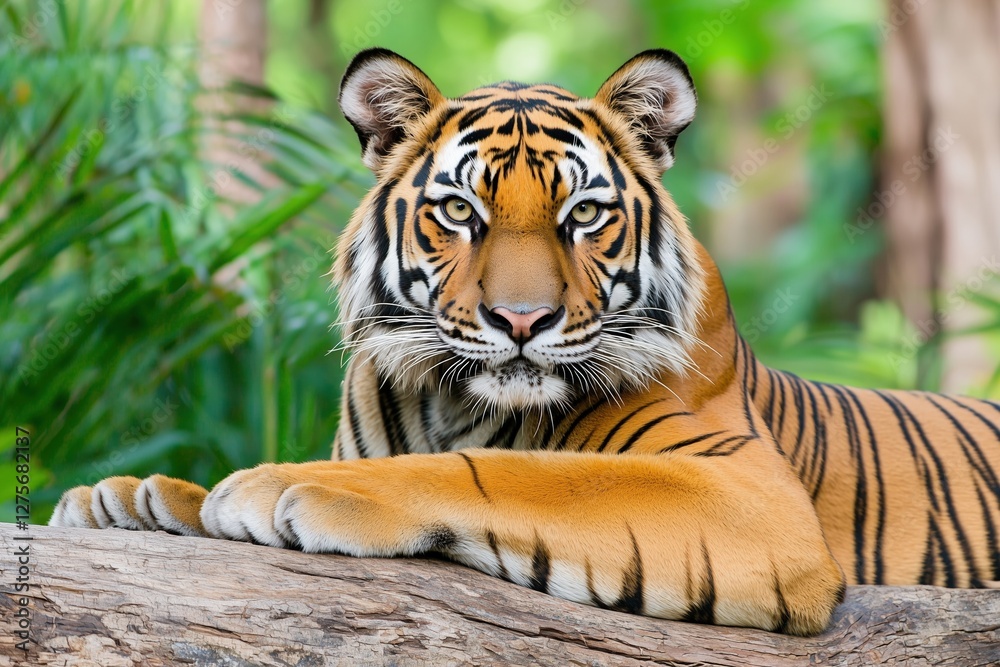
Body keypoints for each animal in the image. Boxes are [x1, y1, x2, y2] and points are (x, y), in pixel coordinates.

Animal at [50, 48, 1000, 636]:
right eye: (458, 210)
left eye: (582, 214)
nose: (520, 321)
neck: (445, 399)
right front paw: (131, 497)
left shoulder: (750, 491)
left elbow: (509, 471)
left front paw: (278, 485)